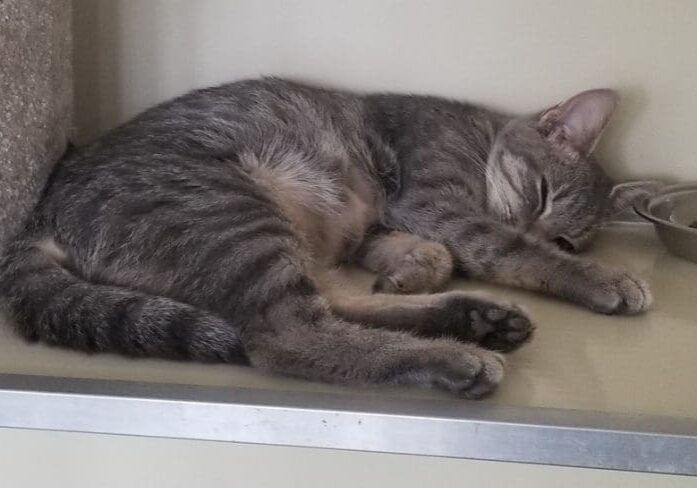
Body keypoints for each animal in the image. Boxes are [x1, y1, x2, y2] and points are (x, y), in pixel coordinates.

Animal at [0, 77, 656, 396]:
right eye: (541, 193)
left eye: (568, 235)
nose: (531, 223)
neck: (480, 135)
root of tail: (39, 214)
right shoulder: (434, 200)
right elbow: (506, 249)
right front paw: (605, 278)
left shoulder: (379, 224)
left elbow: (431, 255)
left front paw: (410, 272)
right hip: (234, 216)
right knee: (287, 336)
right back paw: (453, 354)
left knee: (332, 303)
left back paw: (476, 318)